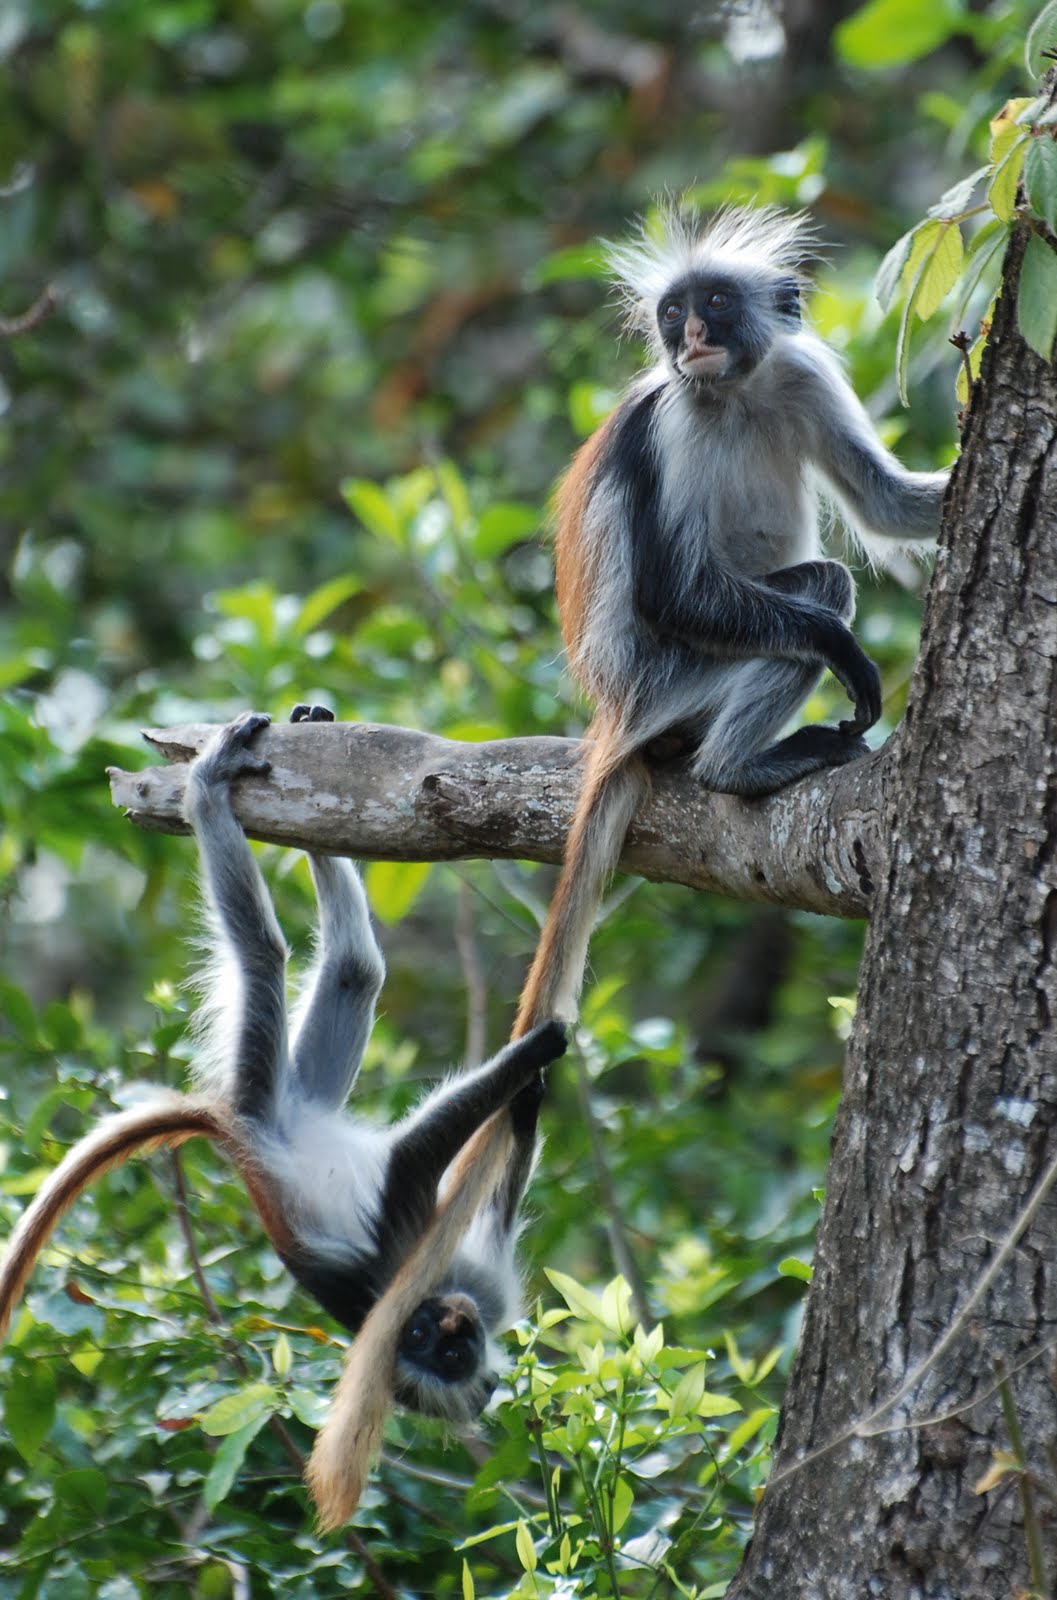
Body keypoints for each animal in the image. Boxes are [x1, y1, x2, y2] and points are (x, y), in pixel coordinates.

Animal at [0, 710, 569, 1523]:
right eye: (429, 1342)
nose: (450, 1325)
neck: (442, 1293)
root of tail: (234, 1126)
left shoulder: (481, 1283)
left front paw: (527, 1101)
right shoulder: (407, 1256)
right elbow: (411, 1160)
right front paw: (534, 1054)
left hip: (302, 1090)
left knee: (356, 969)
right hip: (259, 1089)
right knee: (264, 954)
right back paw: (208, 791)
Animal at [511, 203, 946, 1036]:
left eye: (713, 302)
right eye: (670, 312)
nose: (689, 336)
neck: (734, 393)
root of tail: (611, 711)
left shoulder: (800, 375)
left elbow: (885, 504)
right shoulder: (672, 422)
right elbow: (672, 594)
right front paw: (844, 651)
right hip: (669, 680)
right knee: (813, 604)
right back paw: (733, 767)